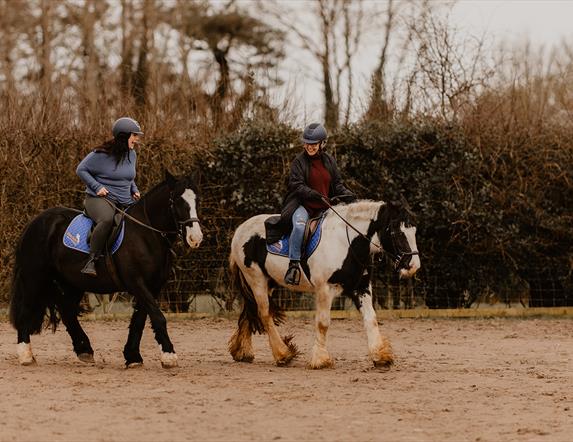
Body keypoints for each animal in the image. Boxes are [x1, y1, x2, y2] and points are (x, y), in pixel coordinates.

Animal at [8, 171, 203, 368]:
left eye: (197, 200)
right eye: (177, 201)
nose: (196, 238)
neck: (146, 235)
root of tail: (35, 221)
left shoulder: (152, 286)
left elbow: (139, 320)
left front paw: (133, 357)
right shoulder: (137, 283)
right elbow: (157, 317)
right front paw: (169, 355)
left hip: (72, 282)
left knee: (67, 311)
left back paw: (84, 349)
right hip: (35, 278)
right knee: (27, 309)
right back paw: (26, 355)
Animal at [228, 199, 420, 368]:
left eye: (414, 230)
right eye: (397, 232)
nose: (413, 266)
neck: (346, 244)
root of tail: (240, 230)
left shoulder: (361, 287)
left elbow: (371, 318)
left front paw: (381, 356)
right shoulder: (325, 289)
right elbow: (323, 323)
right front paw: (320, 360)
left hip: (268, 283)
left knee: (249, 311)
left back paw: (243, 352)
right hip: (256, 280)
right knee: (264, 314)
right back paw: (283, 354)